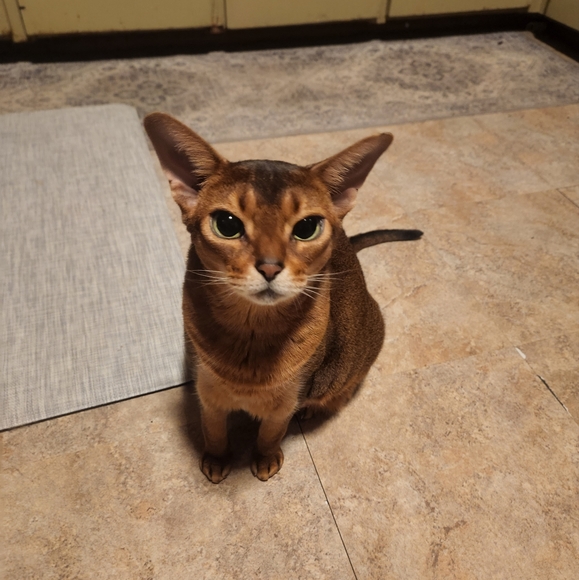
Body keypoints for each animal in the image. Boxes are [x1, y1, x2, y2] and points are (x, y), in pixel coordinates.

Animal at [144, 113, 422, 483]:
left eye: (307, 227)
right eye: (227, 224)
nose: (270, 267)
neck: (251, 338)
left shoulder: (288, 397)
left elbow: (272, 431)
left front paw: (265, 458)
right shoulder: (206, 388)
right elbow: (213, 428)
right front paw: (216, 459)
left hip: (348, 364)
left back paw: (312, 410)